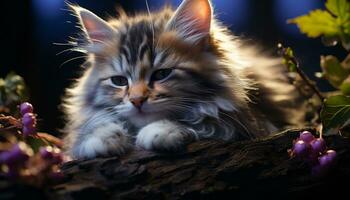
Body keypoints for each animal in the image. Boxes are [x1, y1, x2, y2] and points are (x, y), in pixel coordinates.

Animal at [62, 0, 306, 159]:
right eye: (119, 81)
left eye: (162, 74)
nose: (137, 100)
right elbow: (95, 127)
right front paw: (103, 137)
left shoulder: (247, 125)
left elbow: (202, 123)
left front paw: (162, 131)